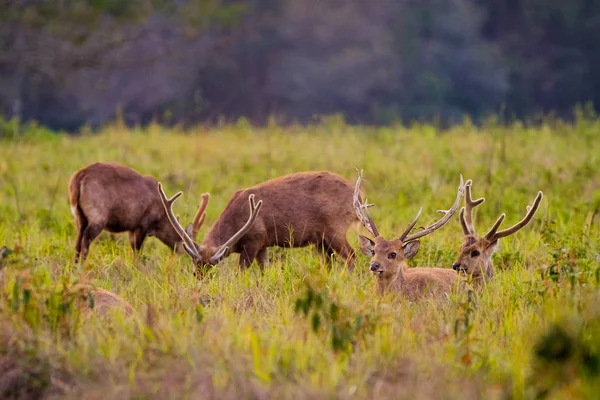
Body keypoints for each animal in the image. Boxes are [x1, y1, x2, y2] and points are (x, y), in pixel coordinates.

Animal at [67, 162, 209, 262]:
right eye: (191, 245)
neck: (161, 220)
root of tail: (78, 177)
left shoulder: (132, 227)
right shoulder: (142, 224)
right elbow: (137, 252)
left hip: (79, 216)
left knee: (78, 239)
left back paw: (75, 266)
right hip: (98, 215)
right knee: (86, 237)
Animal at [158, 170, 366, 270]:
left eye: (212, 268)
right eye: (195, 271)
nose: (201, 284)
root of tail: (359, 196)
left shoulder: (254, 240)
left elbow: (241, 272)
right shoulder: (263, 245)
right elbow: (264, 270)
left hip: (335, 228)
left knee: (351, 255)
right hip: (320, 240)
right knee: (329, 261)